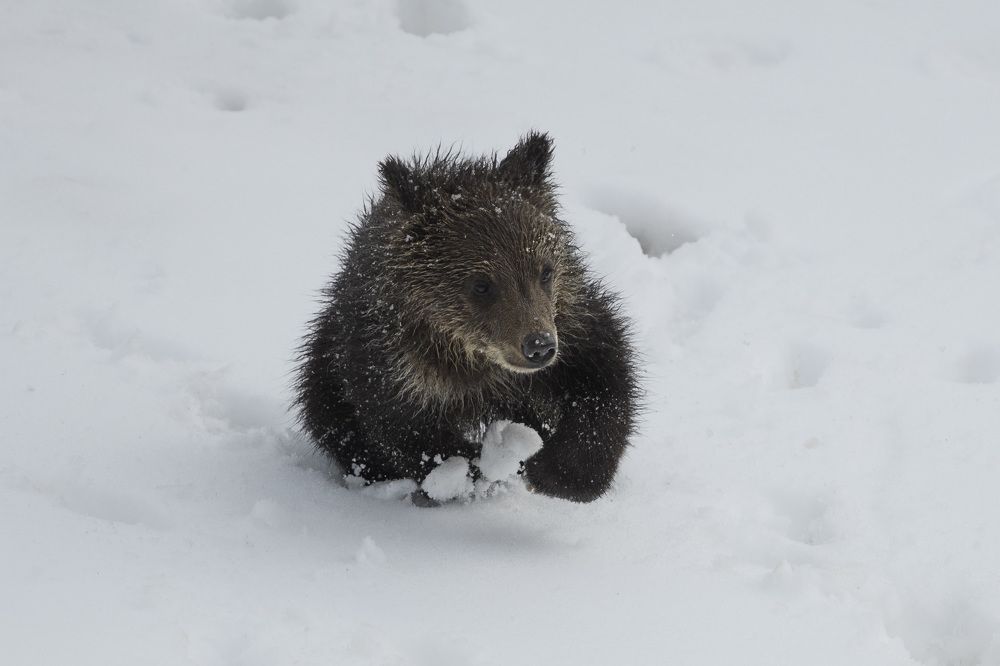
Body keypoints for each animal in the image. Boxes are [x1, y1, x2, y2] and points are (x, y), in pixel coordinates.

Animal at [295, 132, 639, 502]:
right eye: (482, 284)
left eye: (545, 271)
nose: (538, 347)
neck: (474, 361)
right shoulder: (391, 359)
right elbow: (400, 426)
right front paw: (471, 471)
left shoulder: (571, 323)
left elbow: (605, 379)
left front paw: (559, 473)